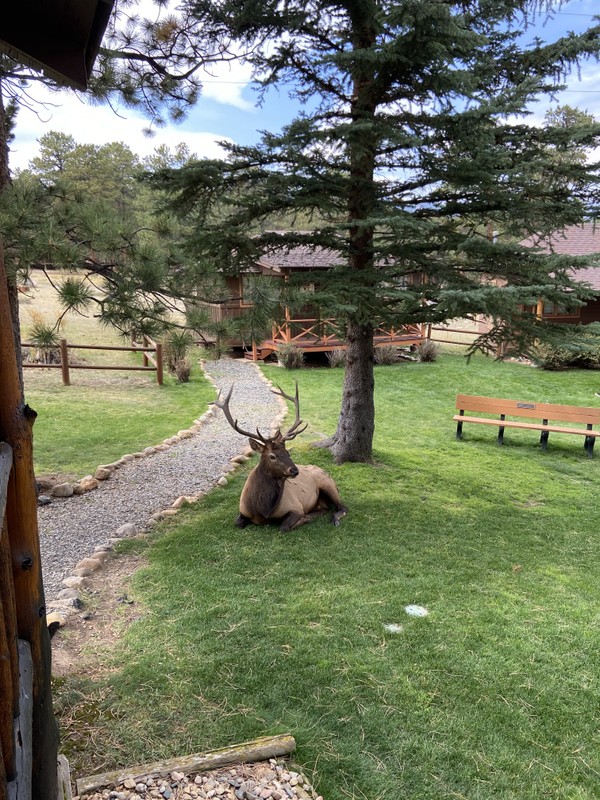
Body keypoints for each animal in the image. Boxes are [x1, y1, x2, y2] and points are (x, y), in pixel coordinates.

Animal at [214, 382, 346, 532]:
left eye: (288, 453)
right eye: (272, 456)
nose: (294, 470)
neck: (263, 510)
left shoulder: (296, 507)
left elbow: (284, 527)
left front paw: (303, 519)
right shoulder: (242, 510)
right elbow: (237, 523)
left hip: (328, 484)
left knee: (342, 507)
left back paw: (333, 519)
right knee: (325, 508)